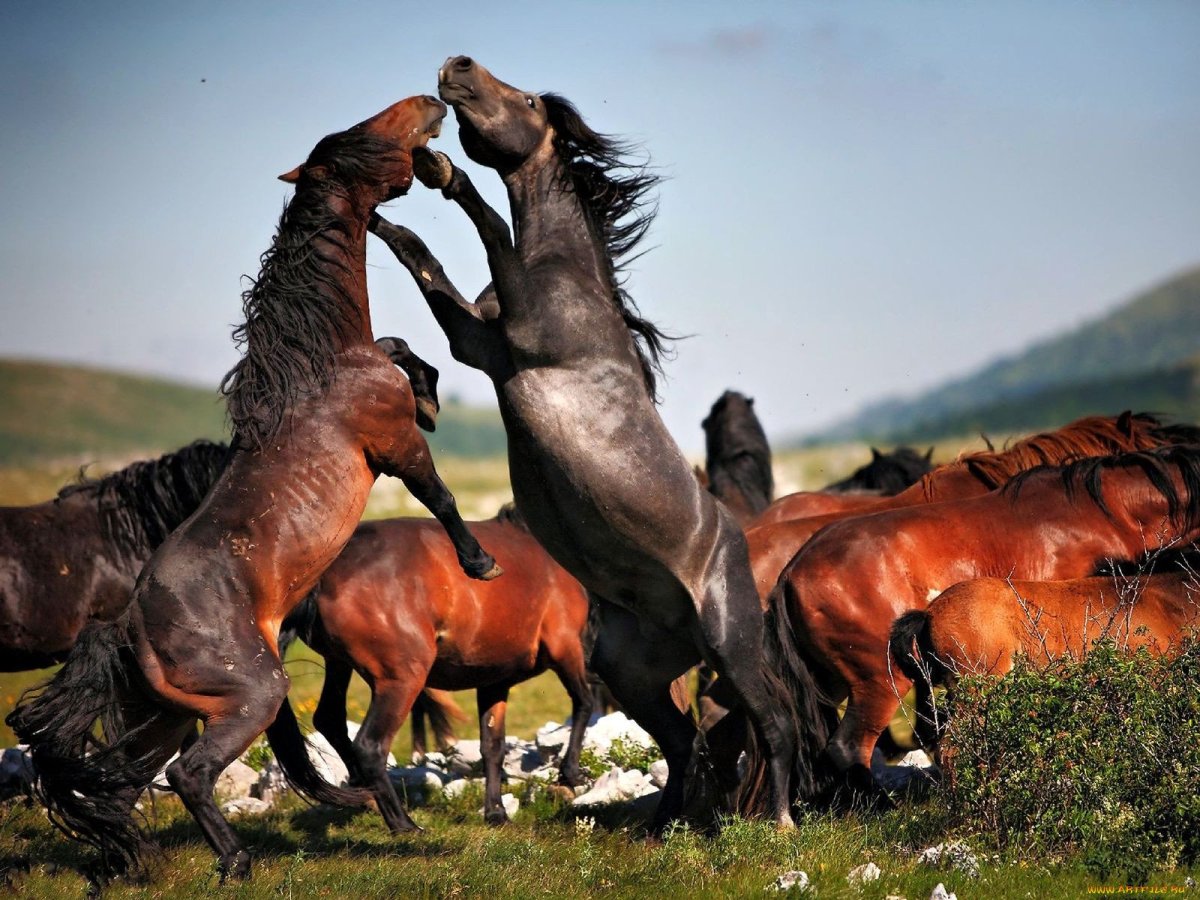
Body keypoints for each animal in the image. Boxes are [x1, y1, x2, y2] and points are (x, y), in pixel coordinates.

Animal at [273, 503, 592, 829]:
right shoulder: (566, 646)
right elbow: (584, 703)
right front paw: (570, 775)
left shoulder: (493, 680)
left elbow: (492, 746)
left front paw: (496, 812)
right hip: (402, 679)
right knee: (369, 745)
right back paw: (403, 823)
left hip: (339, 664)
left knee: (330, 719)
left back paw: (368, 797)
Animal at [368, 56, 796, 831]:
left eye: (528, 100)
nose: (456, 66)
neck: (567, 273)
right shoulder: (480, 344)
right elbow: (422, 264)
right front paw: (385, 209)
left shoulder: (522, 333)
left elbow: (487, 227)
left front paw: (443, 172)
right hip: (634, 672)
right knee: (684, 742)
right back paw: (660, 826)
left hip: (731, 644)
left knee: (772, 724)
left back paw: (778, 821)